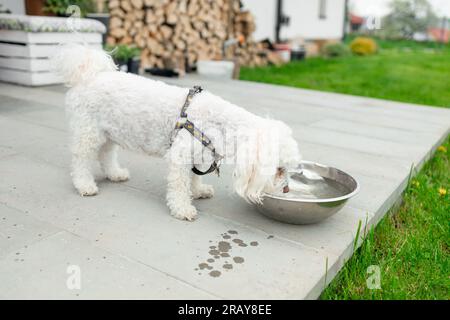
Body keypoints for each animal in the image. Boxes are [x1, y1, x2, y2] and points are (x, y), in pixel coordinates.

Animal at [54, 44, 300, 220]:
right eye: (279, 170)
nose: (287, 190)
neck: (219, 123)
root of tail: (90, 75)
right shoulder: (180, 156)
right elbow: (180, 185)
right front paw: (182, 209)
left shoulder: (196, 156)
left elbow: (194, 177)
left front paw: (198, 191)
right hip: (88, 132)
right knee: (81, 160)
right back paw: (85, 185)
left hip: (109, 132)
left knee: (106, 154)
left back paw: (115, 174)